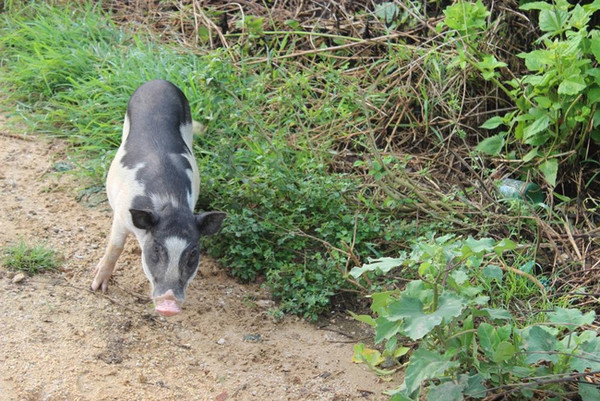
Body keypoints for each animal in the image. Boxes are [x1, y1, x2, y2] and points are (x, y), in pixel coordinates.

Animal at [91, 79, 225, 316]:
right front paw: (97, 287)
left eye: (193, 253)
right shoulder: (121, 215)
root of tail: (159, 81)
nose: (169, 303)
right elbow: (115, 246)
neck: (168, 201)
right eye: (156, 248)